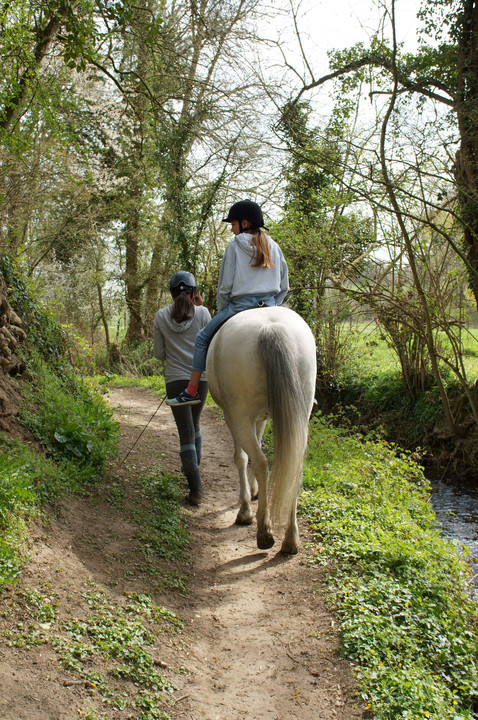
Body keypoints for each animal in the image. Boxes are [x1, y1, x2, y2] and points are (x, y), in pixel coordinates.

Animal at [206, 306, 316, 556]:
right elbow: (256, 441)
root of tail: (271, 327)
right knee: (294, 468)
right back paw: (290, 539)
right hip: (301, 413)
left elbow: (240, 458)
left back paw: (263, 531)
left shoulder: (235, 417)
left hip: (238, 416)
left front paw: (246, 507)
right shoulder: (260, 418)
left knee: (260, 462)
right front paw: (256, 491)